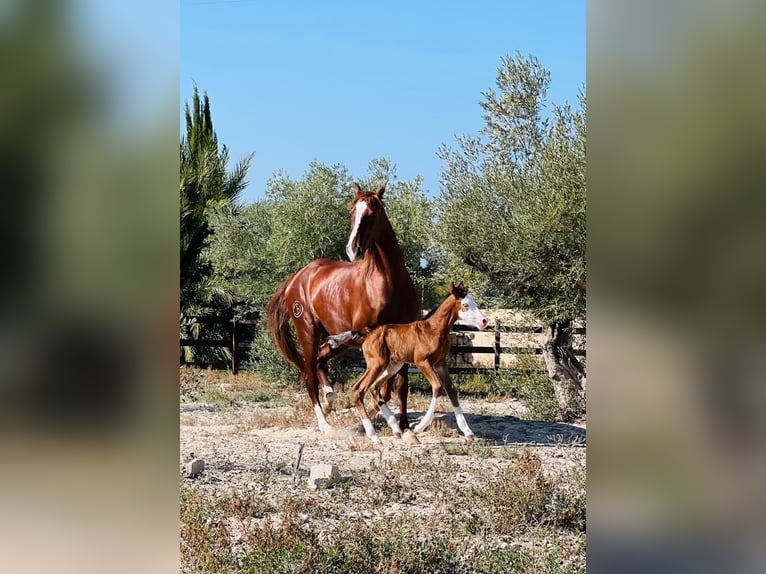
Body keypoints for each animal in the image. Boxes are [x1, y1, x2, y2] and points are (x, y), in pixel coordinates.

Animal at [266, 182, 420, 438]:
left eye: (373, 213)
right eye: (351, 211)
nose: (352, 249)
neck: (388, 283)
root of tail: (298, 277)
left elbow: (397, 385)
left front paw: (405, 428)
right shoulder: (369, 339)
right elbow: (378, 385)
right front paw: (390, 421)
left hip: (337, 340)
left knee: (319, 363)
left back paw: (330, 399)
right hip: (308, 332)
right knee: (310, 375)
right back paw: (325, 424)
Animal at [346, 282, 488, 448]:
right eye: (465, 304)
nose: (484, 321)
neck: (434, 330)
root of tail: (368, 334)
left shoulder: (441, 364)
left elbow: (451, 390)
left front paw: (468, 432)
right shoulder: (422, 362)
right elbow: (438, 387)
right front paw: (418, 428)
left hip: (393, 366)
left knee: (374, 387)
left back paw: (395, 428)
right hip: (377, 364)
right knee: (359, 389)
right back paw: (374, 436)